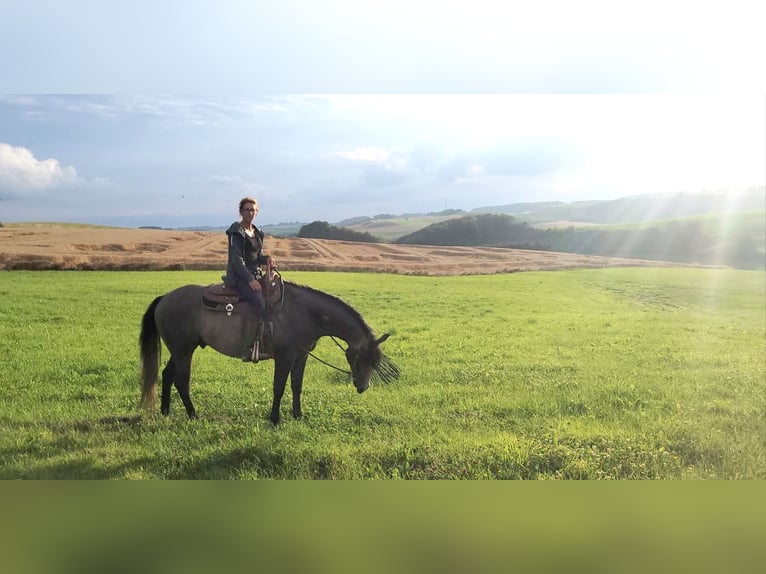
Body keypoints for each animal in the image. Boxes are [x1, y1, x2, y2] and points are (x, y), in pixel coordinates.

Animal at [140, 282, 402, 426]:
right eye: (360, 358)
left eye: (375, 362)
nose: (362, 387)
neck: (305, 313)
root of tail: (164, 298)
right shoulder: (284, 358)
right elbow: (279, 387)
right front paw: (275, 419)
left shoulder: (301, 357)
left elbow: (296, 386)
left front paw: (298, 415)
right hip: (184, 350)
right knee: (182, 381)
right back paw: (193, 415)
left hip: (179, 350)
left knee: (167, 374)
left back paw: (165, 411)